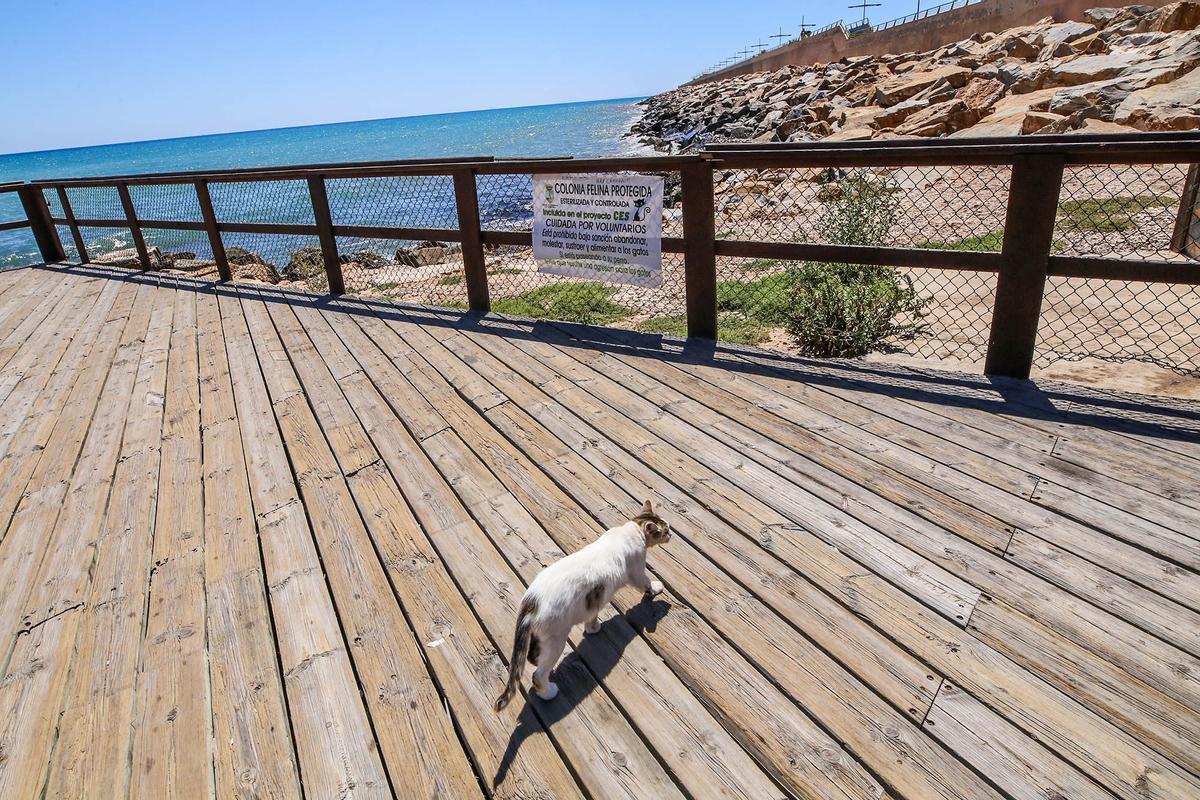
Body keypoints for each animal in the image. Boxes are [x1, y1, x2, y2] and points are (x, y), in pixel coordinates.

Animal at [492, 501, 672, 714]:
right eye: (665, 530)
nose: (671, 534)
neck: (633, 528)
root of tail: (530, 601)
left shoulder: (594, 602)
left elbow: (592, 615)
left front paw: (593, 628)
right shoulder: (636, 572)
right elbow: (646, 583)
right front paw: (656, 588)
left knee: (531, 656)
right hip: (556, 639)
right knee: (538, 675)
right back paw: (549, 692)